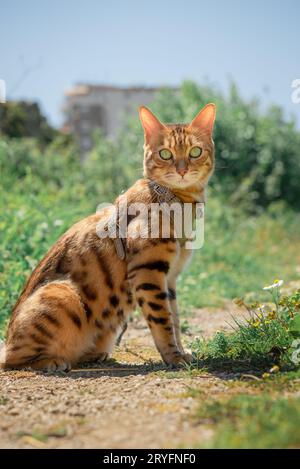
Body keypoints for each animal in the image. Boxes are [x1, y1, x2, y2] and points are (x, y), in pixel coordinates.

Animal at [0, 104, 216, 372]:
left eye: (195, 151)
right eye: (165, 154)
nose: (182, 170)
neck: (179, 202)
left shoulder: (171, 276)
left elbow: (175, 317)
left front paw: (181, 351)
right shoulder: (149, 271)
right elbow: (162, 318)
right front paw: (173, 357)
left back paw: (94, 355)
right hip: (63, 294)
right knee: (13, 360)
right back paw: (53, 361)